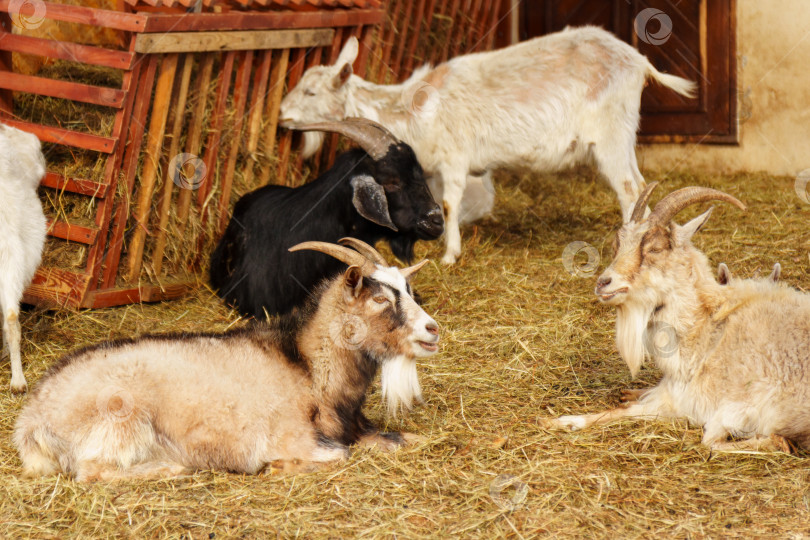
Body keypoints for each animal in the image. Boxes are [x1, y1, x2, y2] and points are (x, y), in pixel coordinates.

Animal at [14, 238, 442, 478]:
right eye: (380, 299)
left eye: (408, 290)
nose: (432, 330)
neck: (306, 369)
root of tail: (32, 419)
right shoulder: (292, 437)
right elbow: (340, 455)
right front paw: (275, 468)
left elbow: (407, 440)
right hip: (120, 421)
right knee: (92, 472)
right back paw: (173, 468)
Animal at [278, 25, 696, 266]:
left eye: (311, 91)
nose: (281, 114)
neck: (411, 107)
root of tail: (639, 61)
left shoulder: (454, 158)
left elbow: (449, 204)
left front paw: (449, 255)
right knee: (640, 186)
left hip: (610, 135)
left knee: (630, 189)